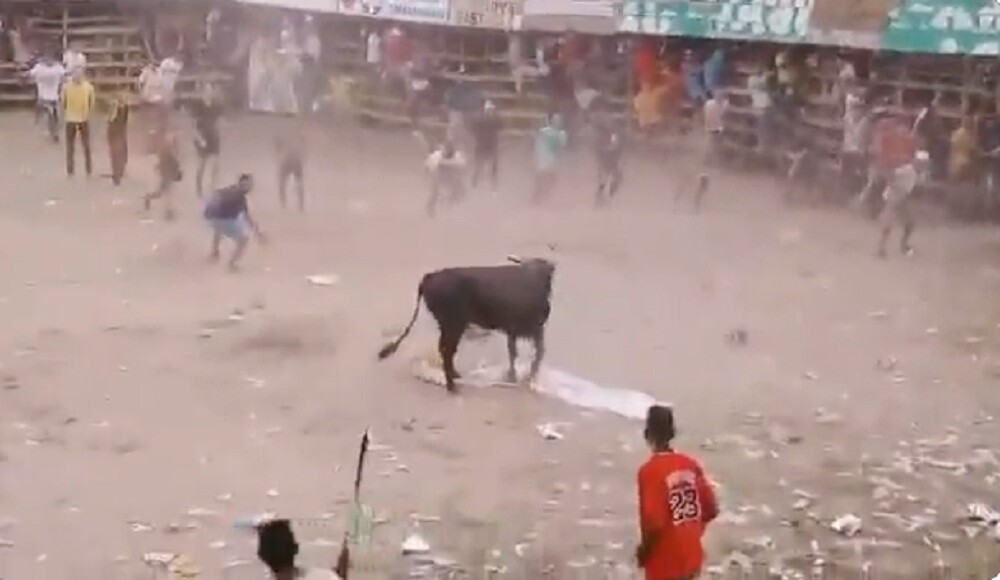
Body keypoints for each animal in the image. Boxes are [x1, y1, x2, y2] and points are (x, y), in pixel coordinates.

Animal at [378, 256, 560, 392]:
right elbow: (537, 352)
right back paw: (452, 387)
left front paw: (514, 377)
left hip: (447, 325)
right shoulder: (534, 329)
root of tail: (429, 277)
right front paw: (528, 377)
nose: (547, 307)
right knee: (447, 350)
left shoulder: (514, 330)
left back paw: (455, 376)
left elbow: (513, 352)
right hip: (453, 324)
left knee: (445, 349)